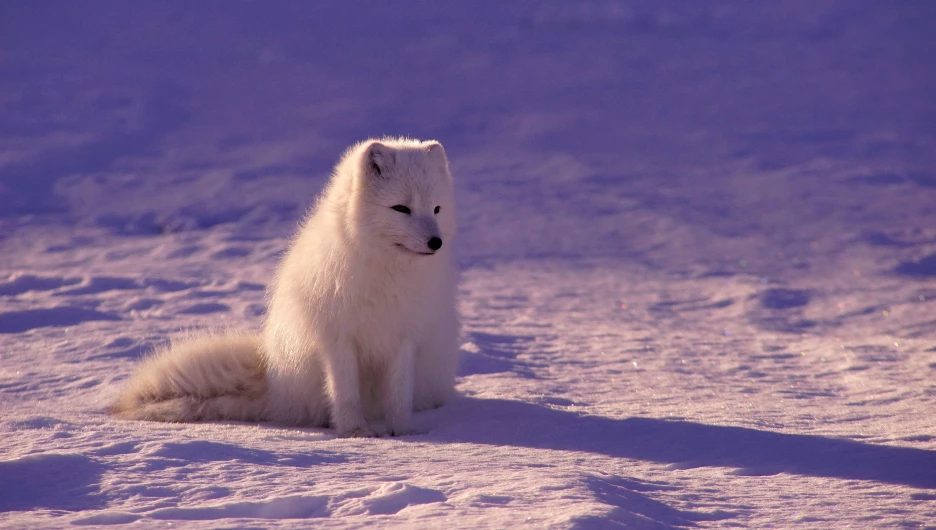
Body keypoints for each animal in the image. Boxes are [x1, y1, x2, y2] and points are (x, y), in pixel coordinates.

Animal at [111, 137, 462, 438]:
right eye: (401, 208)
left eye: (436, 209)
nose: (436, 242)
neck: (386, 272)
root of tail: (274, 382)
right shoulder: (337, 338)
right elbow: (345, 392)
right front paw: (355, 432)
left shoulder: (405, 338)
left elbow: (399, 395)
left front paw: (403, 432)